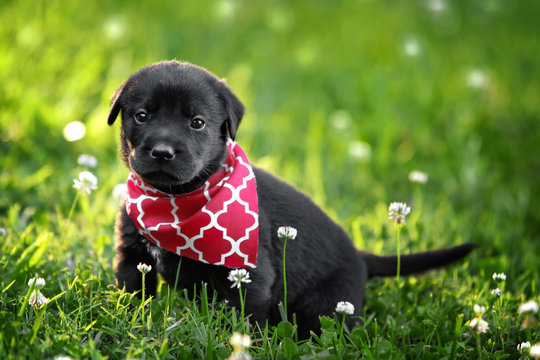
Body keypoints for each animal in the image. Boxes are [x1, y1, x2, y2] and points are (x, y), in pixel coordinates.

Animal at [107, 59, 474, 338]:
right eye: (141, 116)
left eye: (197, 123)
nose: (162, 151)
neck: (175, 202)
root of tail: (361, 257)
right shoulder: (133, 256)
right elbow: (133, 293)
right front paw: (130, 325)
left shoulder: (251, 276)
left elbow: (244, 322)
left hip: (329, 307)